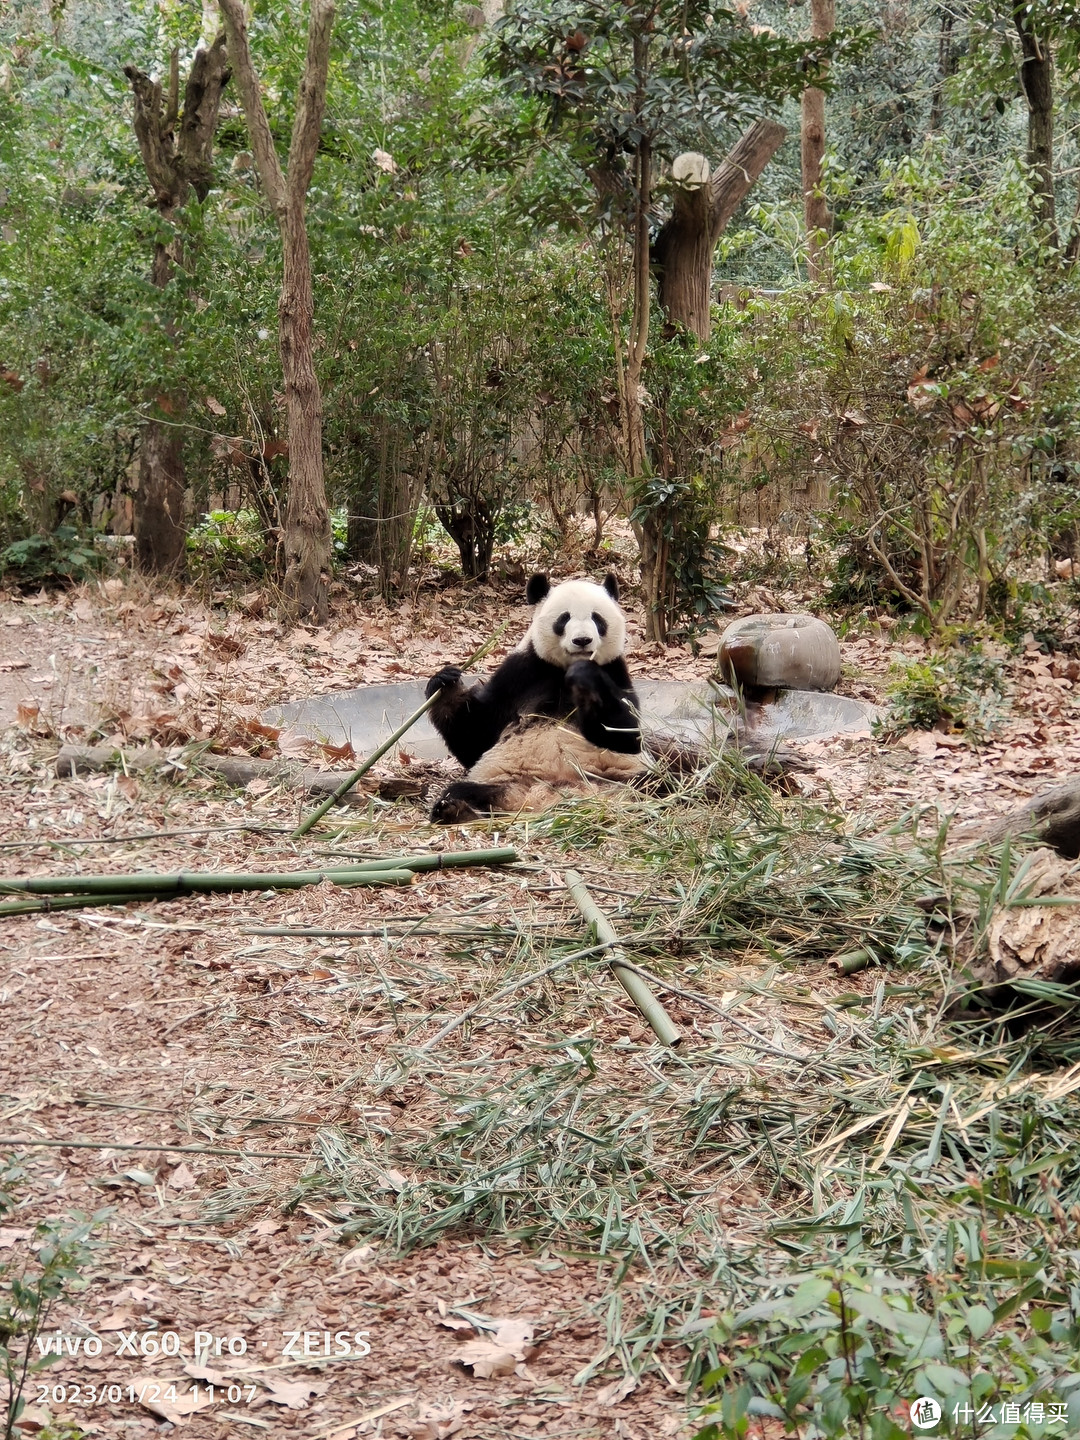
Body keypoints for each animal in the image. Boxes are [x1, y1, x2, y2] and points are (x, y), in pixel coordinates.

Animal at [426, 573, 648, 823]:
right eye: (564, 618)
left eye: (597, 619)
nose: (582, 640)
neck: (563, 671)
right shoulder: (521, 673)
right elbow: (476, 738)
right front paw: (446, 684)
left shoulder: (615, 671)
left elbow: (624, 735)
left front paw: (586, 678)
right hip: (504, 780)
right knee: (461, 790)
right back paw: (455, 810)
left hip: (618, 777)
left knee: (656, 782)